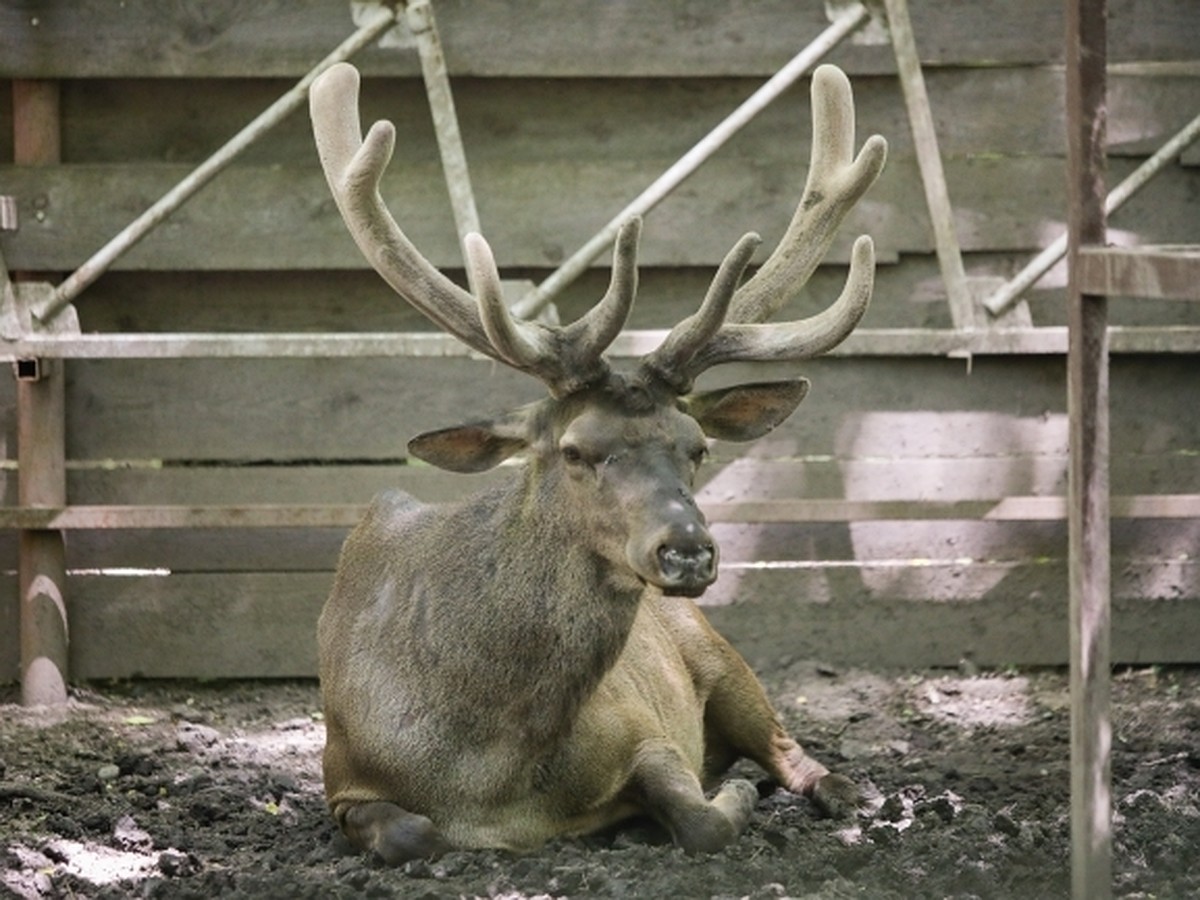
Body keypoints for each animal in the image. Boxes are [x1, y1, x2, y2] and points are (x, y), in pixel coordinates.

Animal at [309, 60, 892, 864]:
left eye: (698, 445)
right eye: (577, 449)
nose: (688, 550)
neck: (490, 767)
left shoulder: (646, 730)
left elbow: (702, 817)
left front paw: (727, 798)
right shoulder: (343, 775)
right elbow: (409, 832)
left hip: (720, 655)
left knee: (788, 747)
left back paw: (838, 792)